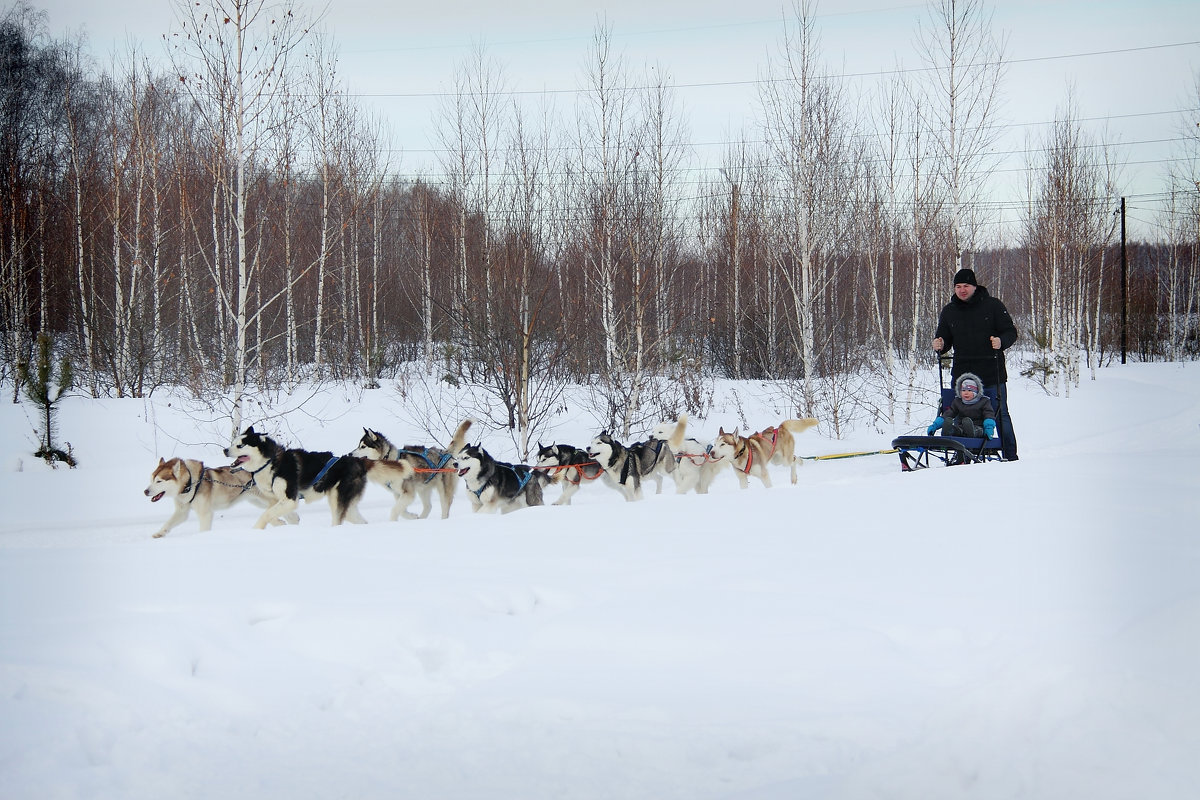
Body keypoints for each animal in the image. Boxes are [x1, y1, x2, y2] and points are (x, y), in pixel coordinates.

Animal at [143, 455, 292, 537]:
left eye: (159, 481)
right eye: (151, 479)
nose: (145, 491)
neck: (191, 482)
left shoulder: (205, 514)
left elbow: (203, 529)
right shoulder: (182, 511)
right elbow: (168, 523)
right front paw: (160, 533)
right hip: (257, 501)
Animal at [224, 429, 364, 527]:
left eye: (240, 446)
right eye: (232, 443)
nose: (225, 450)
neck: (270, 462)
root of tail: (355, 462)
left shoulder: (290, 499)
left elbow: (266, 514)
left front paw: (257, 529)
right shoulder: (278, 499)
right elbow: (275, 513)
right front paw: (285, 521)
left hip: (337, 502)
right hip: (347, 507)